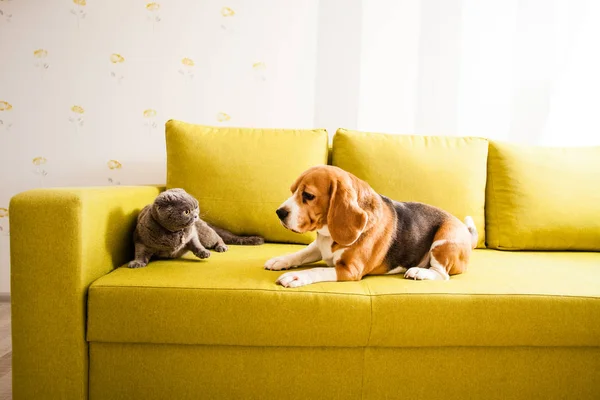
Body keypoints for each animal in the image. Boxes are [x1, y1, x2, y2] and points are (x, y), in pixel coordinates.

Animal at [127, 188, 264, 268]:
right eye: (186, 212)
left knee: (218, 237)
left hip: (206, 234)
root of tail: (204, 222)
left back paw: (221, 246)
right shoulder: (141, 241)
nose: (195, 215)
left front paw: (204, 253)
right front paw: (137, 263)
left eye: (196, 206)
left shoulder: (192, 234)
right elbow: (140, 253)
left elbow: (196, 244)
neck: (175, 233)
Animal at [266, 166, 478, 288]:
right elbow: (301, 253)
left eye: (308, 196)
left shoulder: (350, 270)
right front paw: (281, 260)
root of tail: (467, 234)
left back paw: (419, 272)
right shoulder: (319, 247)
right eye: (292, 191)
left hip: (445, 239)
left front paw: (295, 277)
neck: (329, 235)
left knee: (442, 274)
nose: (279, 212)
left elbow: (316, 270)